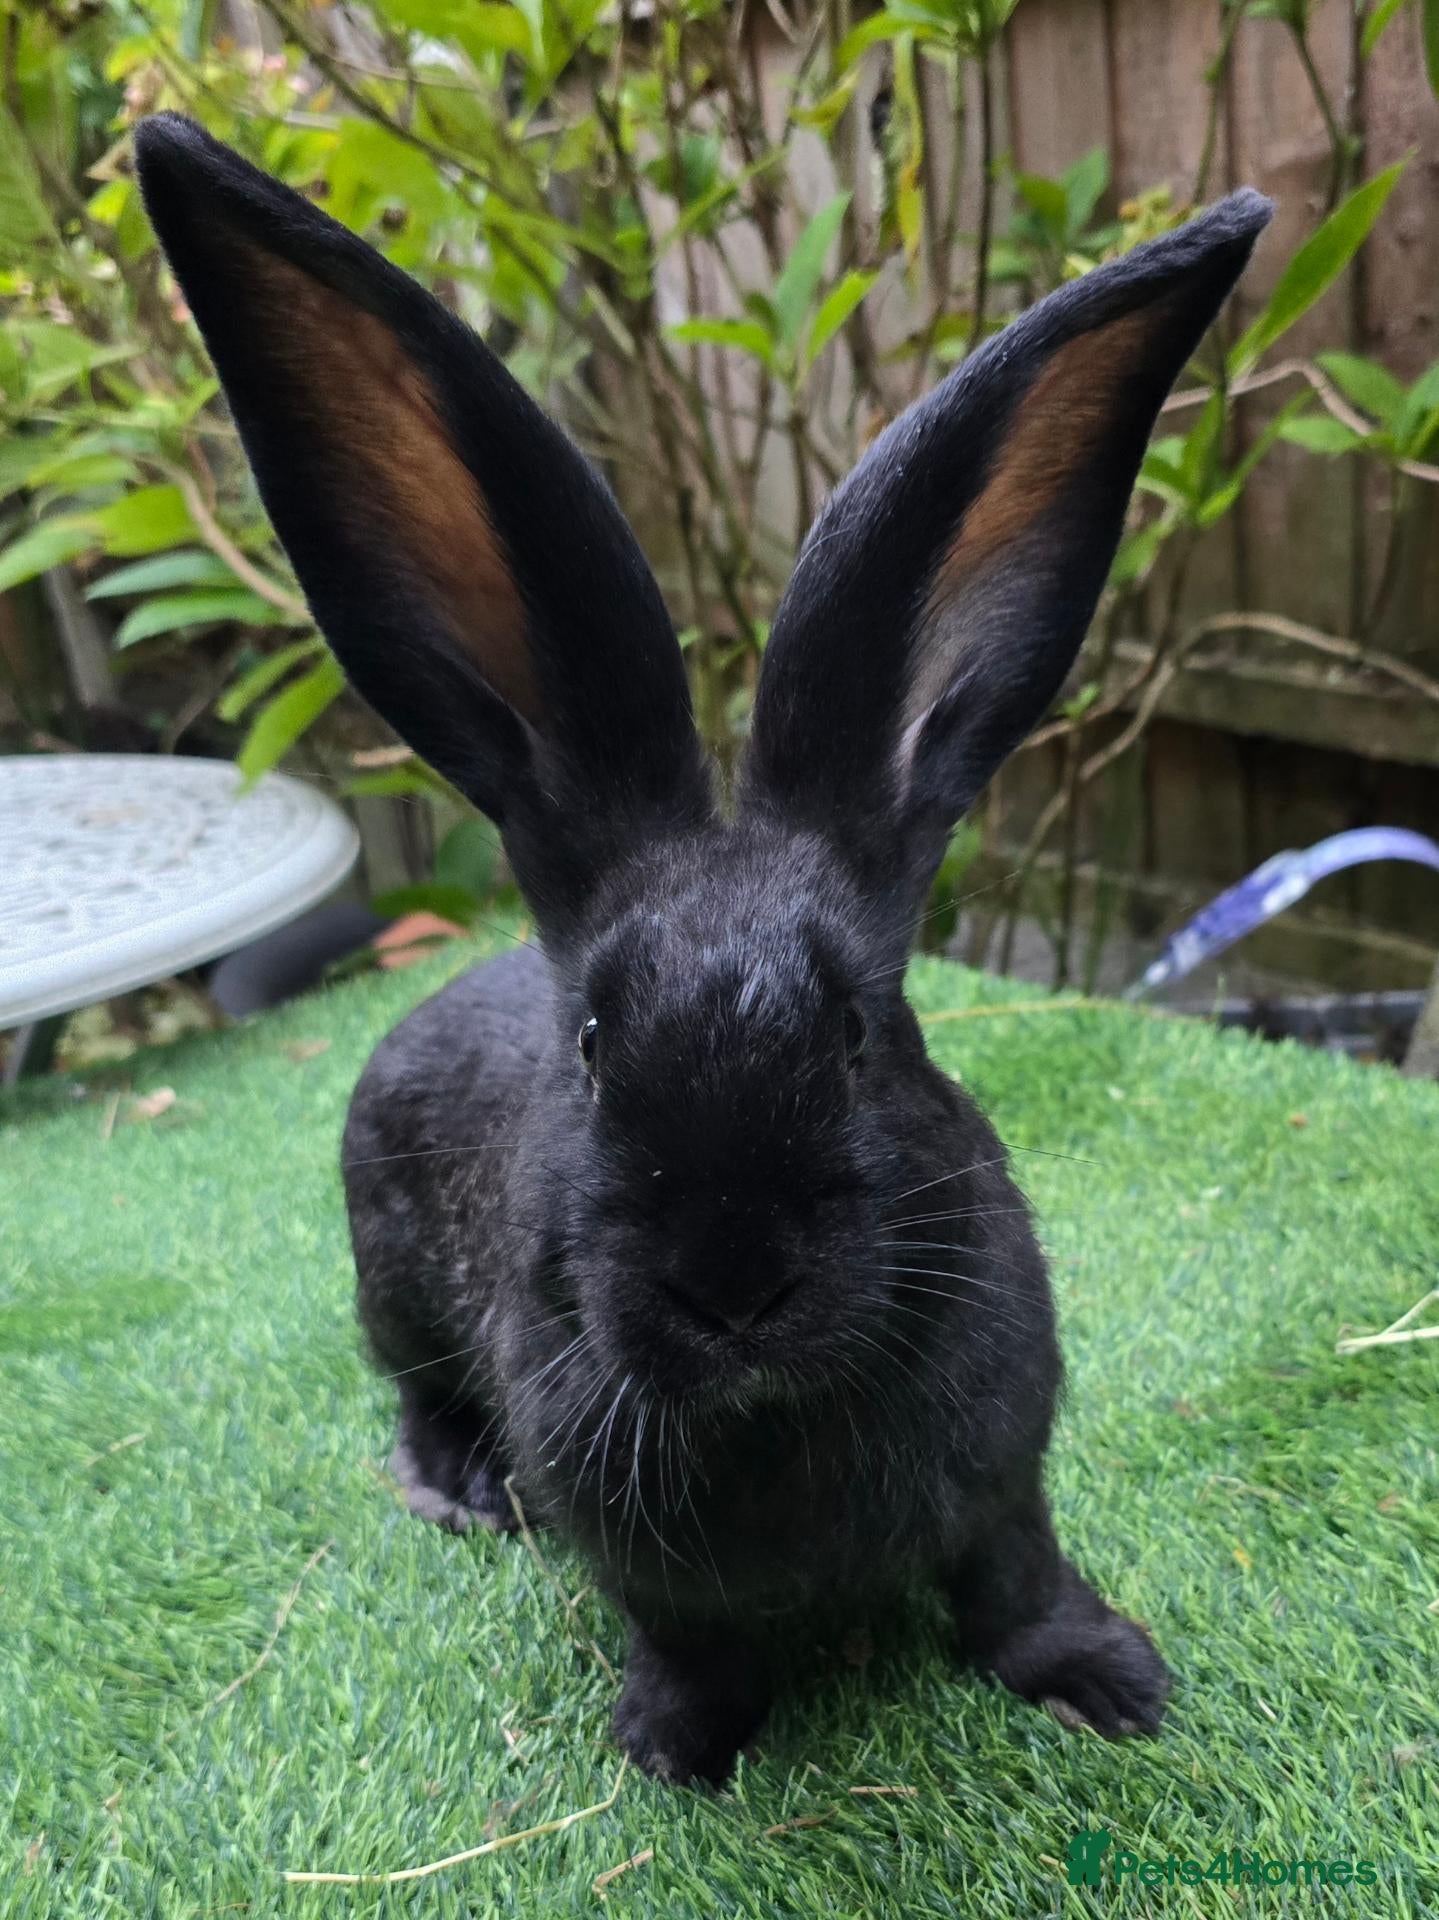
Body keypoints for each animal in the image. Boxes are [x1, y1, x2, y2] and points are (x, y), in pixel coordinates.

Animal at [137, 112, 1270, 1785]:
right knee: (409, 1392)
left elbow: (1015, 1579)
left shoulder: (1007, 1484)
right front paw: (676, 1750)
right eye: (595, 1046)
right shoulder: (636, 1555)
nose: (730, 1284)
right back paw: (454, 1491)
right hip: (386, 1288)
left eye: (861, 1033)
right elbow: (683, 1636)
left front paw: (1108, 1685)